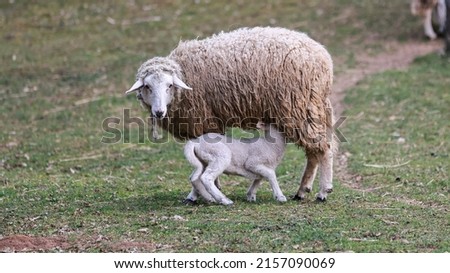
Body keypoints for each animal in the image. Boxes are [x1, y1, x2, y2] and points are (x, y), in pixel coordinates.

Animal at [125, 26, 336, 201]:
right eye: (147, 86)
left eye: (169, 85)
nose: (159, 112)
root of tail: (323, 56)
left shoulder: (205, 122)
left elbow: (202, 167)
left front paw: (201, 193)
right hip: (310, 107)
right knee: (314, 151)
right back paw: (302, 190)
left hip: (298, 107)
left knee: (323, 148)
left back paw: (323, 191)